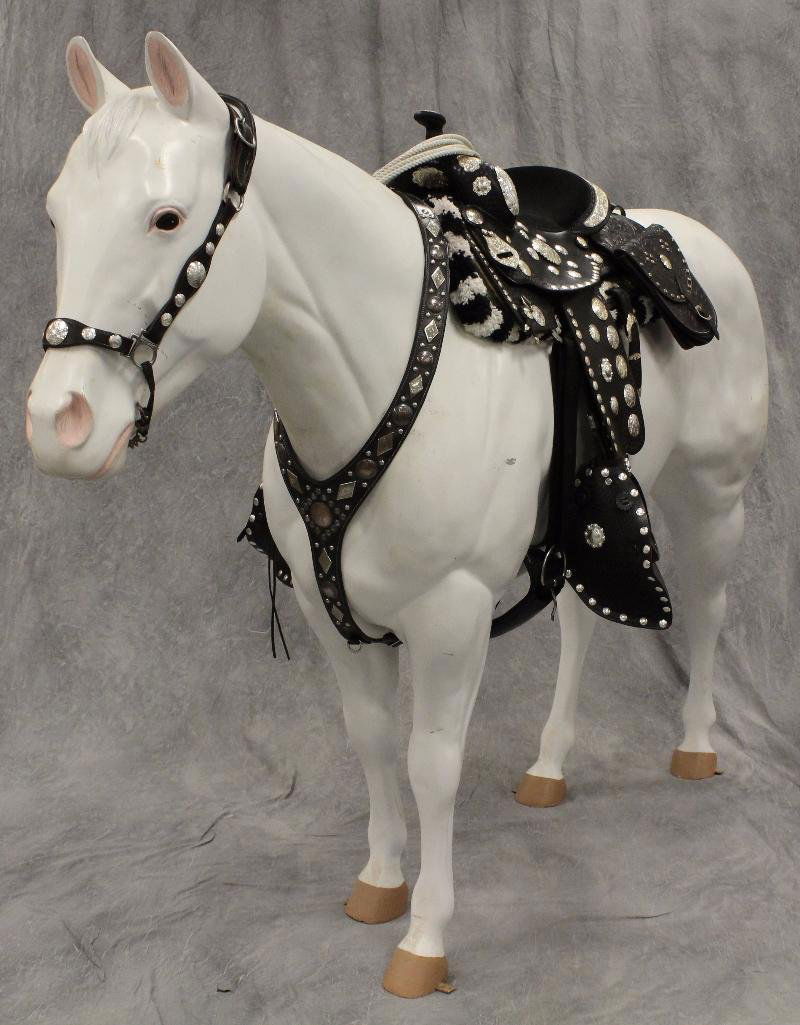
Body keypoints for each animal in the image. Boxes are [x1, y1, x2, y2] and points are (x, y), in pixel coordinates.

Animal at [26, 32, 768, 999]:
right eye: (56, 216)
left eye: (166, 218)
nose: (58, 423)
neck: (381, 375)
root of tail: (698, 239)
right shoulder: (332, 617)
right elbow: (374, 742)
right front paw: (379, 884)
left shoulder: (451, 617)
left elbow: (432, 764)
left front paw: (425, 936)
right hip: (592, 522)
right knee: (579, 623)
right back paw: (550, 764)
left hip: (714, 493)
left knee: (710, 608)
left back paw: (696, 744)